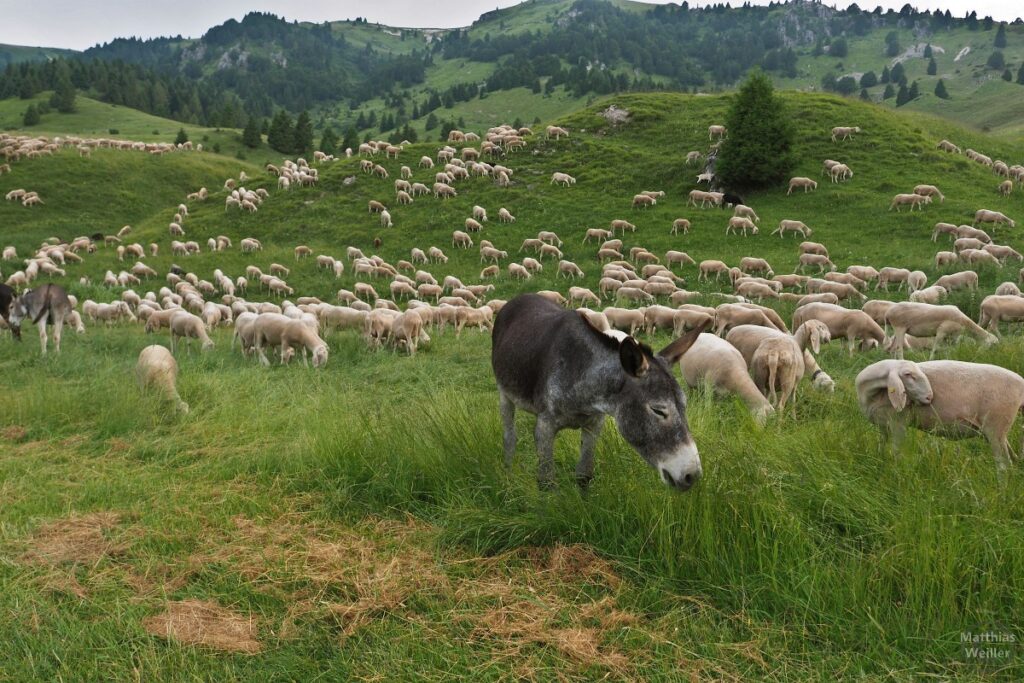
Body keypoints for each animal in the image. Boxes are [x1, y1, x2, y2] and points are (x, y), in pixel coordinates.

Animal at [851, 358, 1024, 471]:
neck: (871, 393)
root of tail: (1020, 383)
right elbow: (881, 445)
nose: (930, 397)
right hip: (995, 431)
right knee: (1013, 459)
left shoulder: (898, 422)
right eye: (908, 374)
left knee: (1004, 465)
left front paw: (895, 473)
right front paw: (879, 462)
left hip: (996, 425)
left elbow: (896, 452)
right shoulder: (883, 425)